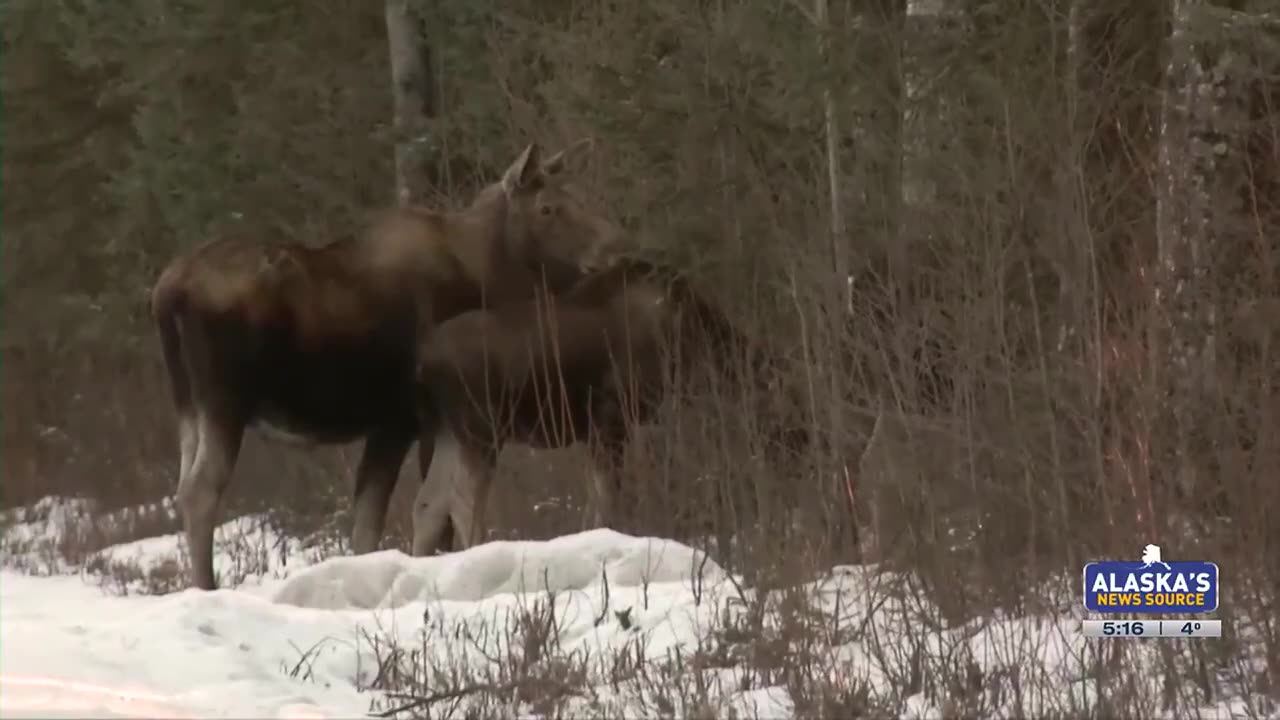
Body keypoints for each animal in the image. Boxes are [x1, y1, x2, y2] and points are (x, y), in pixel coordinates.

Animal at [404, 257, 819, 561]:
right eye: (792, 407)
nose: (811, 454)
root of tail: (422, 364)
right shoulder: (613, 419)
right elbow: (609, 503)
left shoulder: (598, 430)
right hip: (481, 429)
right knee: (461, 500)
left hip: (449, 432)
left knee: (427, 503)